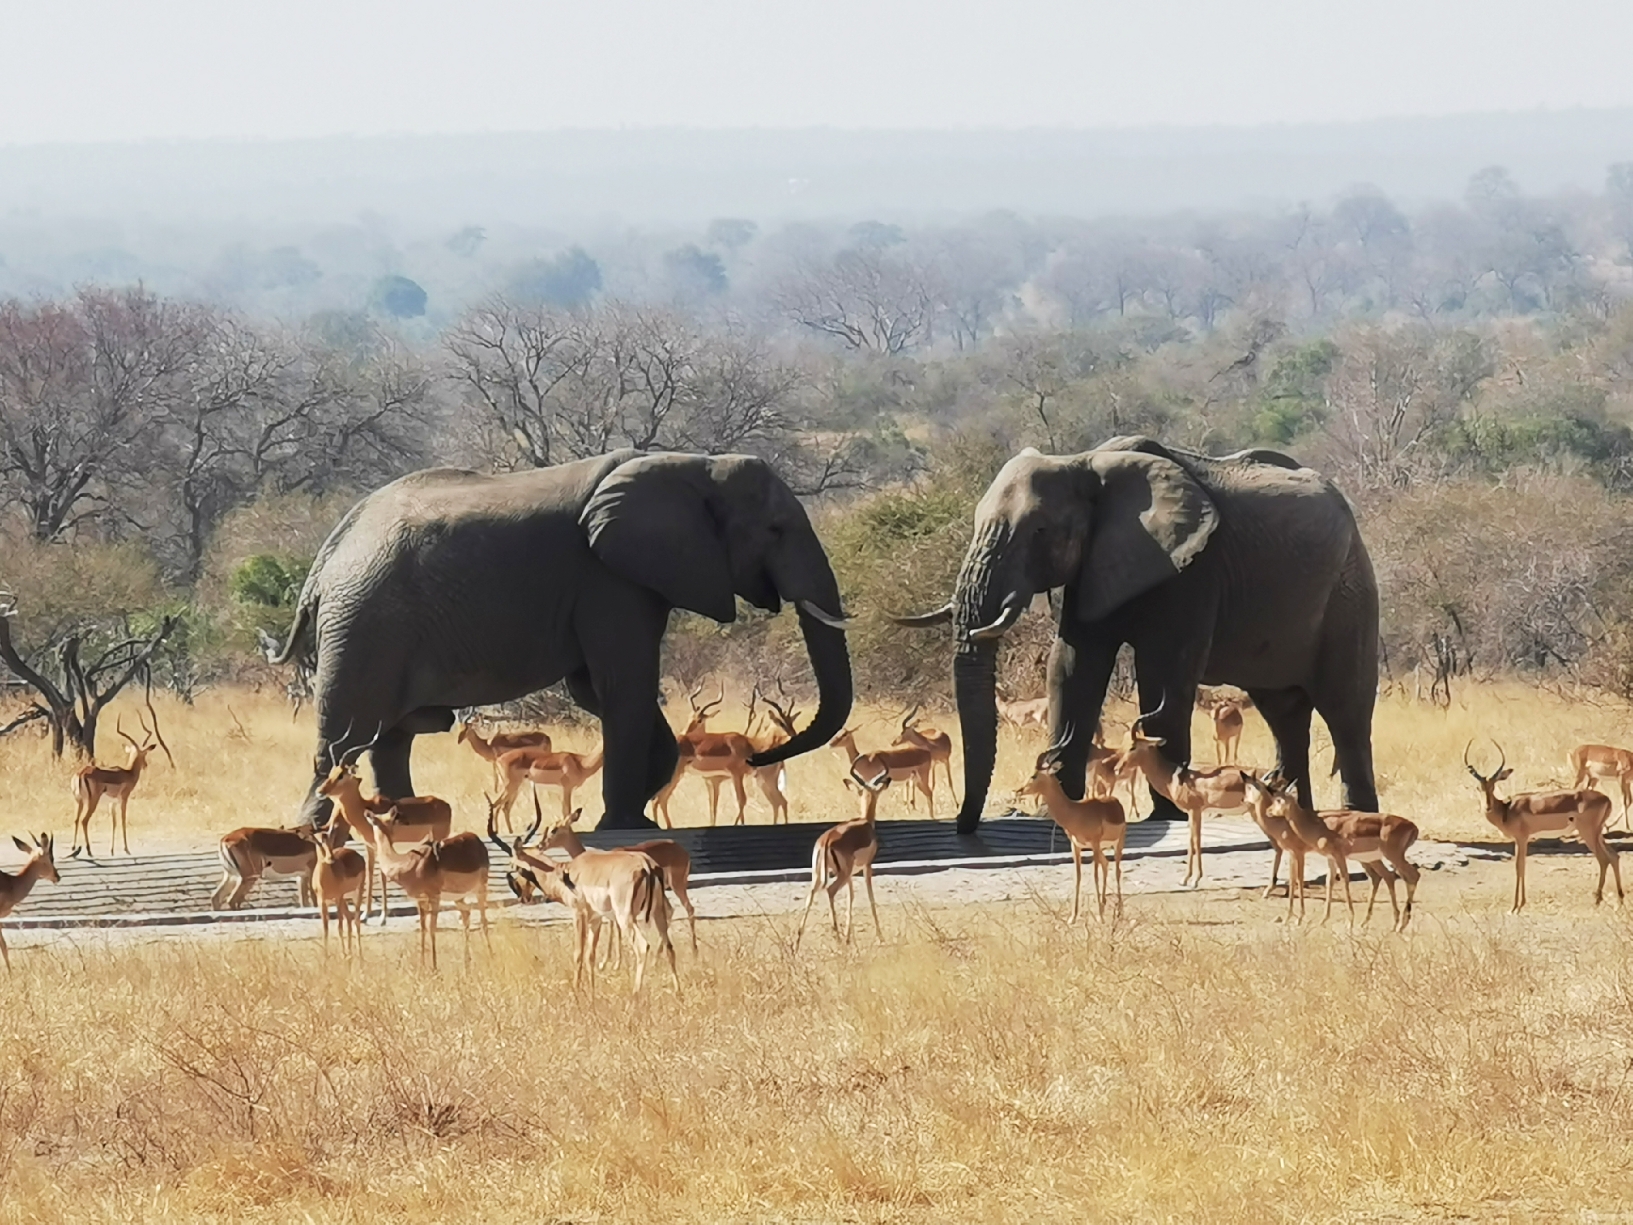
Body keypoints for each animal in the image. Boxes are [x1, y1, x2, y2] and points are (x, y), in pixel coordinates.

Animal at [271, 450, 855, 836]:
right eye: (776, 529)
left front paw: (637, 812)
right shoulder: (606, 578)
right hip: (365, 625)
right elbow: (624, 685)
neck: (696, 464)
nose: (758, 757)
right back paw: (318, 835)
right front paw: (623, 825)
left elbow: (596, 692)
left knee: (389, 740)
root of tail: (325, 558)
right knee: (347, 738)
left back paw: (403, 824)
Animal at [901, 434, 1384, 836]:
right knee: (1284, 712)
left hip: (1351, 591)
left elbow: (1162, 674)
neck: (1084, 462)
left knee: (1345, 711)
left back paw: (1355, 816)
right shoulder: (1093, 566)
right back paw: (1291, 813)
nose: (964, 826)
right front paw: (1054, 809)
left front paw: (1167, 812)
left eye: (1038, 530)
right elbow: (1072, 666)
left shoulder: (1193, 571)